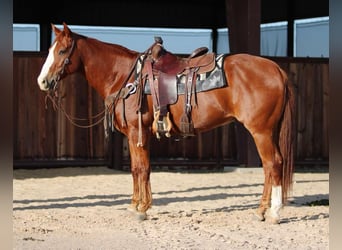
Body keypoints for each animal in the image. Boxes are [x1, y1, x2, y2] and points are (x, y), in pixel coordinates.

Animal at [36, 23, 294, 223]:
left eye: (62, 51)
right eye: (50, 49)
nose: (42, 81)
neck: (125, 77)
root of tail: (276, 69)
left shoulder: (136, 133)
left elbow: (142, 169)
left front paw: (142, 209)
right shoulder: (137, 135)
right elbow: (136, 169)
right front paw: (135, 204)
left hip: (261, 132)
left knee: (272, 164)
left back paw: (273, 213)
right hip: (268, 131)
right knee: (270, 167)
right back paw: (261, 211)